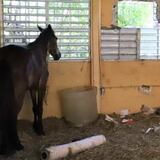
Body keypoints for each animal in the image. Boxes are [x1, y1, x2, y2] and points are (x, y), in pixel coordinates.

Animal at [0, 24, 60, 154]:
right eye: (56, 38)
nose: (58, 55)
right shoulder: (41, 86)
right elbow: (40, 108)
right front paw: (41, 130)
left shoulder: (32, 88)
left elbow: (34, 108)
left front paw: (35, 127)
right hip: (18, 96)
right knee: (12, 115)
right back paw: (17, 144)